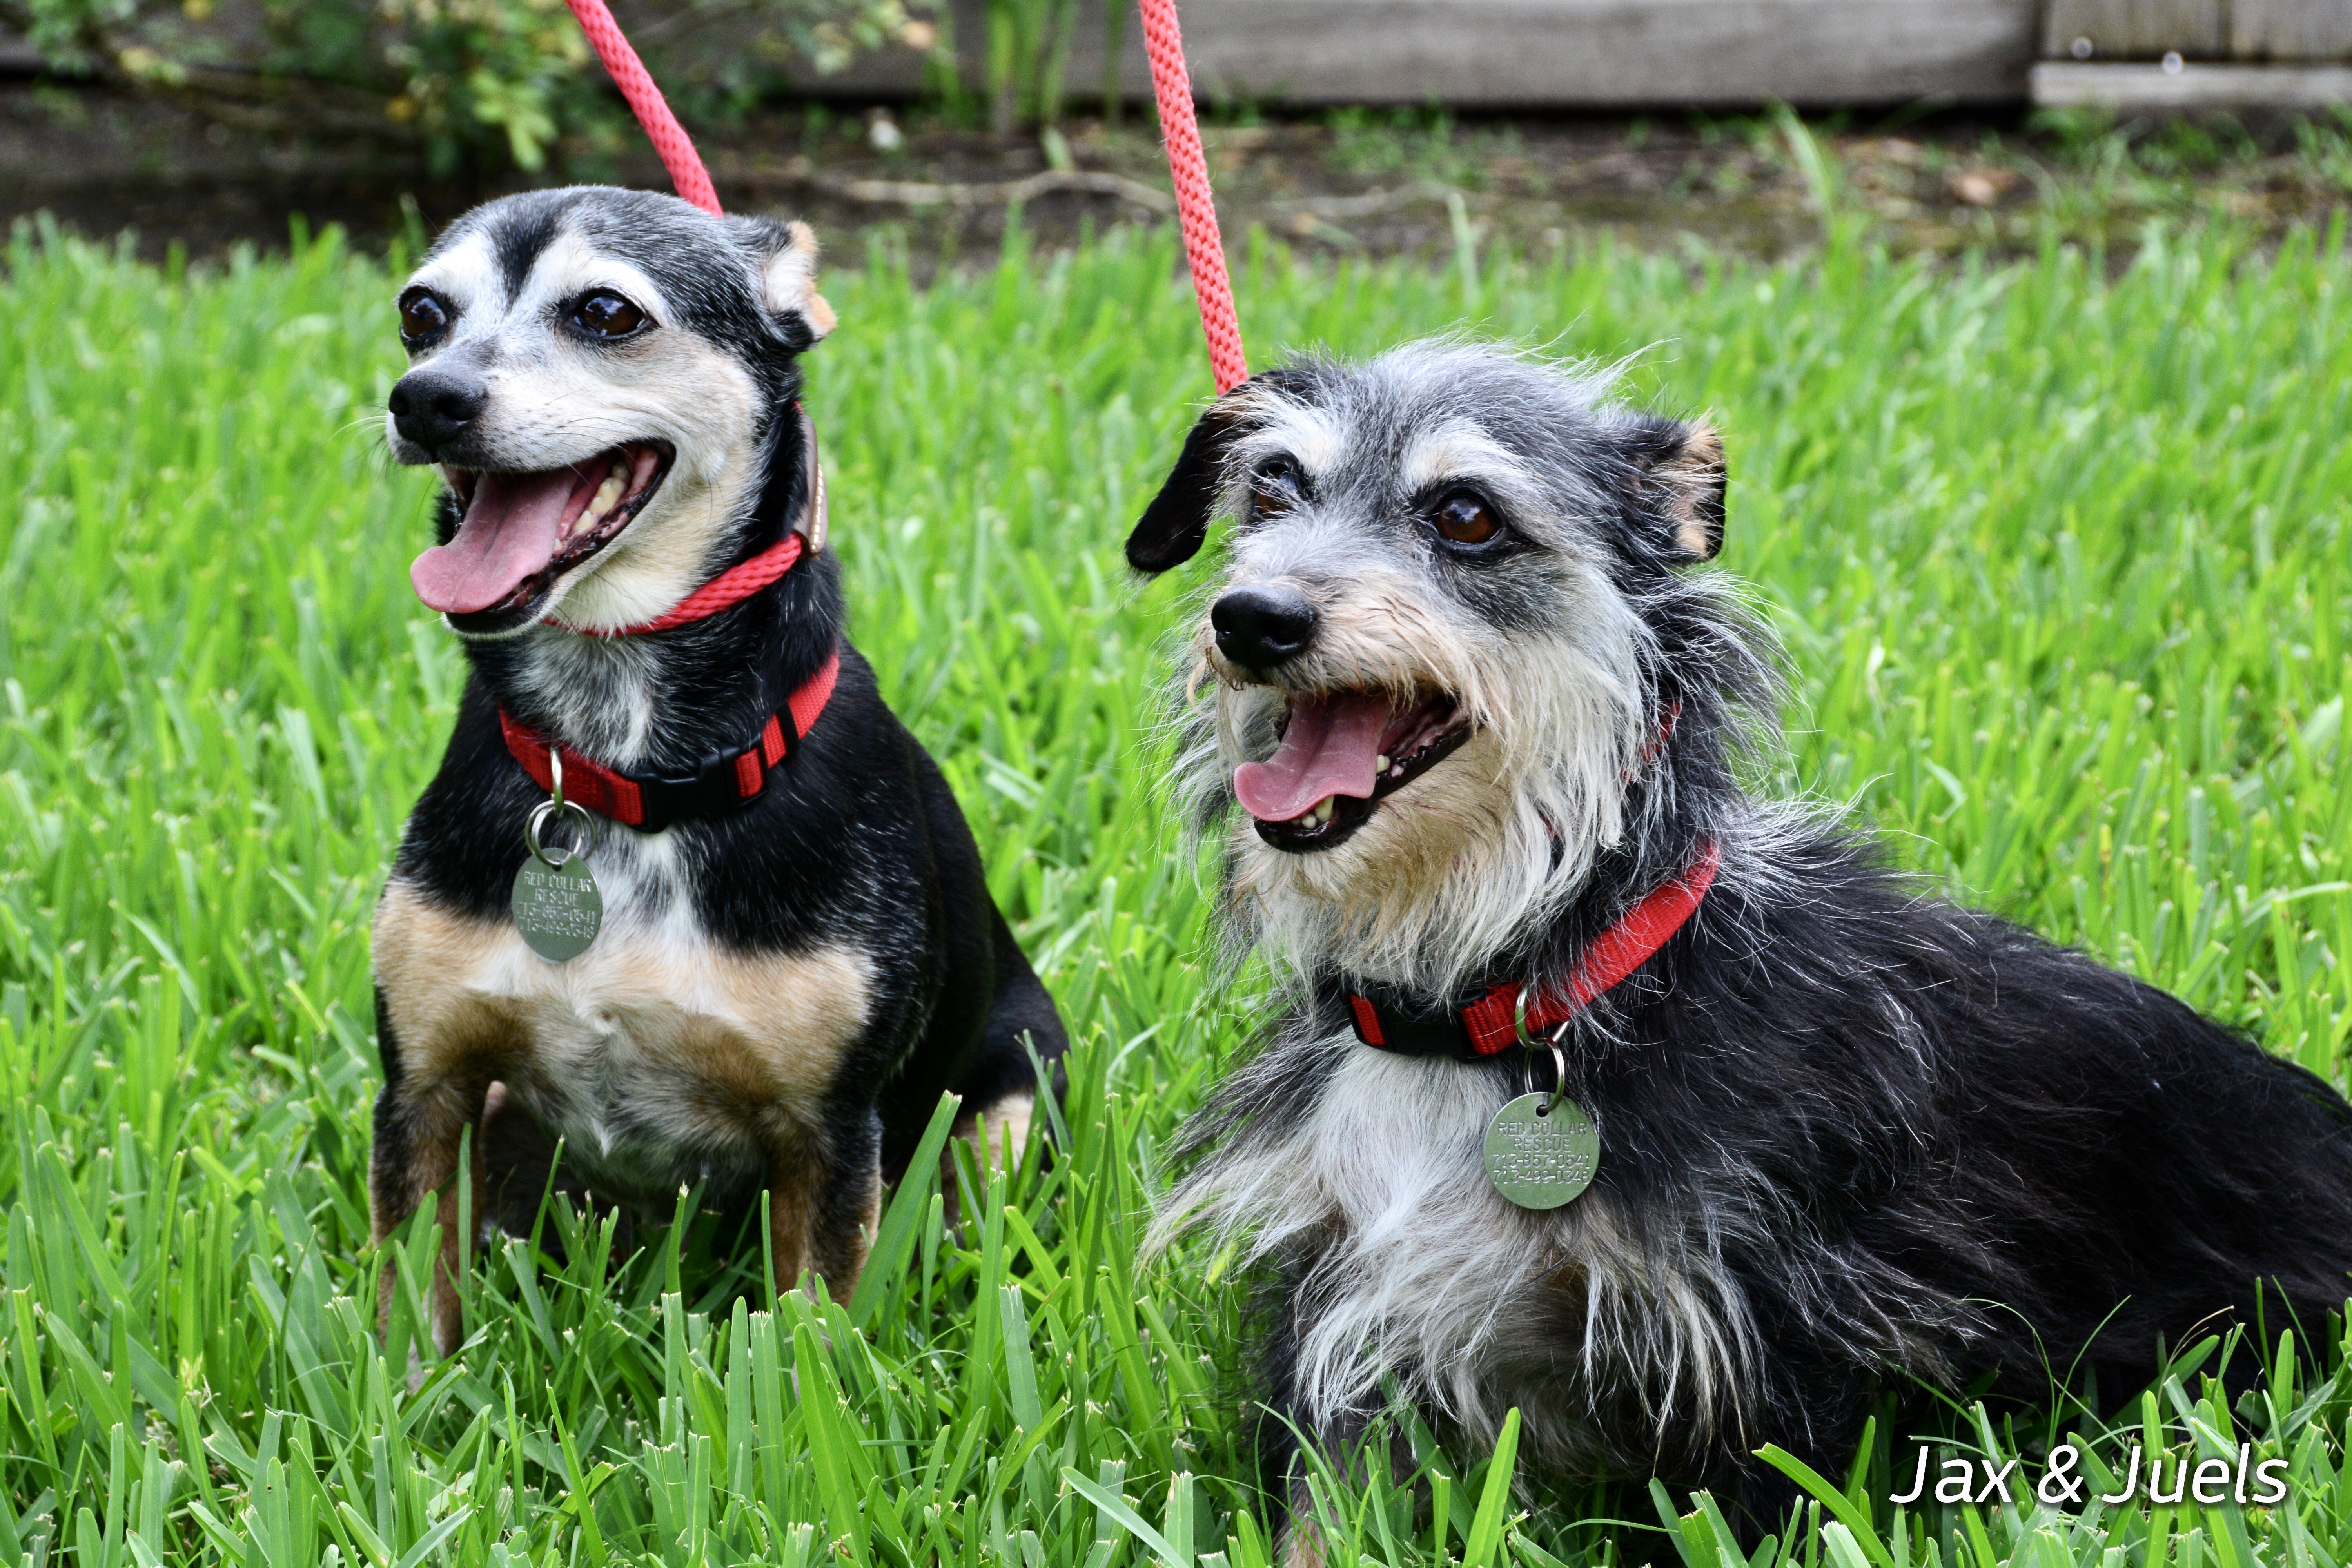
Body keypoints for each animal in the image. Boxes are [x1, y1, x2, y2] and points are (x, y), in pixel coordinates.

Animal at [369, 190, 1068, 1354]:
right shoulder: (427, 1086)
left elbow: (813, 1339)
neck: (622, 767)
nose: (426, 398)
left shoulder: (828, 1131)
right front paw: (406, 1392)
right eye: (421, 313)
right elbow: (405, 1315)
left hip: (1009, 1106)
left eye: (606, 312)